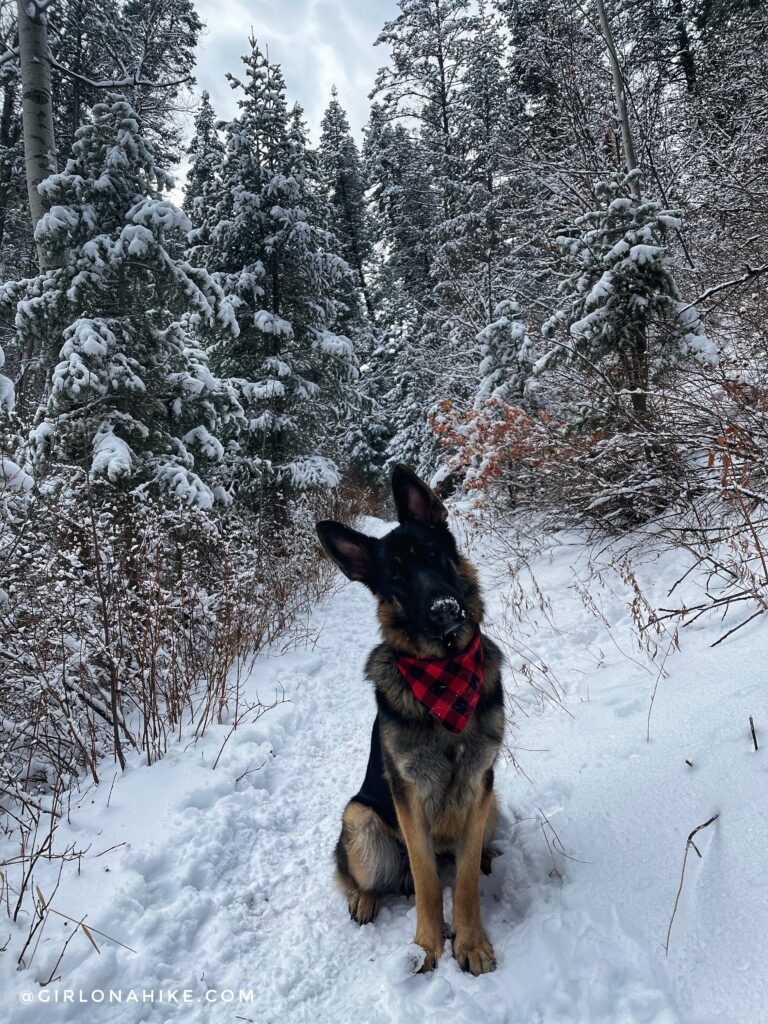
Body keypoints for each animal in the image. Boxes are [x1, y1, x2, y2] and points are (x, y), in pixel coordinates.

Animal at [319, 464, 505, 974]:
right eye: (396, 579)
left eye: (434, 556)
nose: (444, 610)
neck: (444, 681)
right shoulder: (408, 796)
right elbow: (426, 880)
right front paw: (426, 946)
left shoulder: (479, 783)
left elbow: (463, 880)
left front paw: (470, 942)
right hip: (359, 816)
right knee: (365, 877)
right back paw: (365, 899)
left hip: (494, 804)